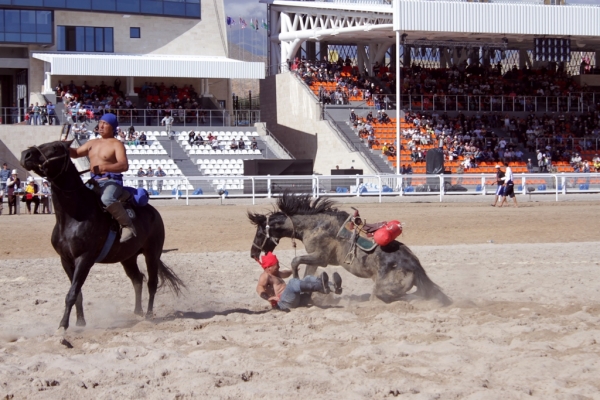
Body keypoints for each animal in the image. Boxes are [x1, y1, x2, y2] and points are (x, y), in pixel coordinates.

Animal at [21, 141, 184, 332]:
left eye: (55, 147)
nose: (25, 155)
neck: (75, 215)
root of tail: (153, 212)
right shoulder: (66, 260)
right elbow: (77, 293)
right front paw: (80, 322)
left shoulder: (84, 259)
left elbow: (72, 293)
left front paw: (63, 325)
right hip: (128, 257)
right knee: (137, 279)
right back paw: (138, 311)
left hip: (152, 253)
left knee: (152, 283)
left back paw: (149, 315)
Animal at [247, 192, 450, 304]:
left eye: (259, 233)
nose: (253, 253)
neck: (315, 224)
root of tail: (414, 265)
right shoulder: (315, 259)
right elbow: (307, 273)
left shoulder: (320, 257)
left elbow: (296, 261)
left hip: (384, 290)